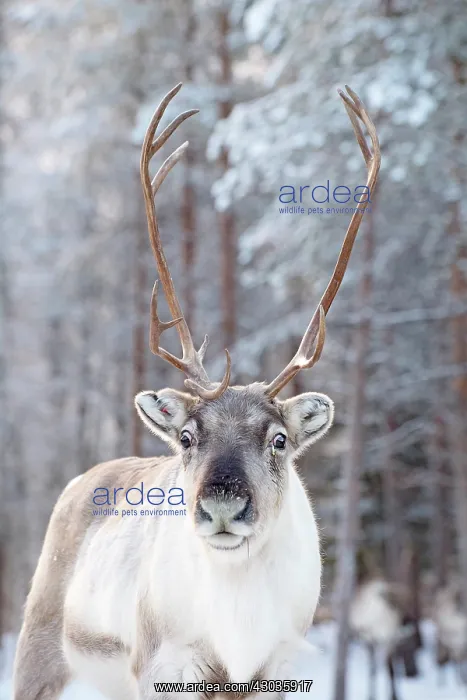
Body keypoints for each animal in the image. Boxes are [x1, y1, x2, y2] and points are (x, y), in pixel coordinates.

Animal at [13, 83, 380, 700]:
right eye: (186, 436)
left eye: (279, 440)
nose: (223, 504)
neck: (235, 634)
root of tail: (82, 480)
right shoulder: (165, 665)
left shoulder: (278, 666)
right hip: (41, 647)